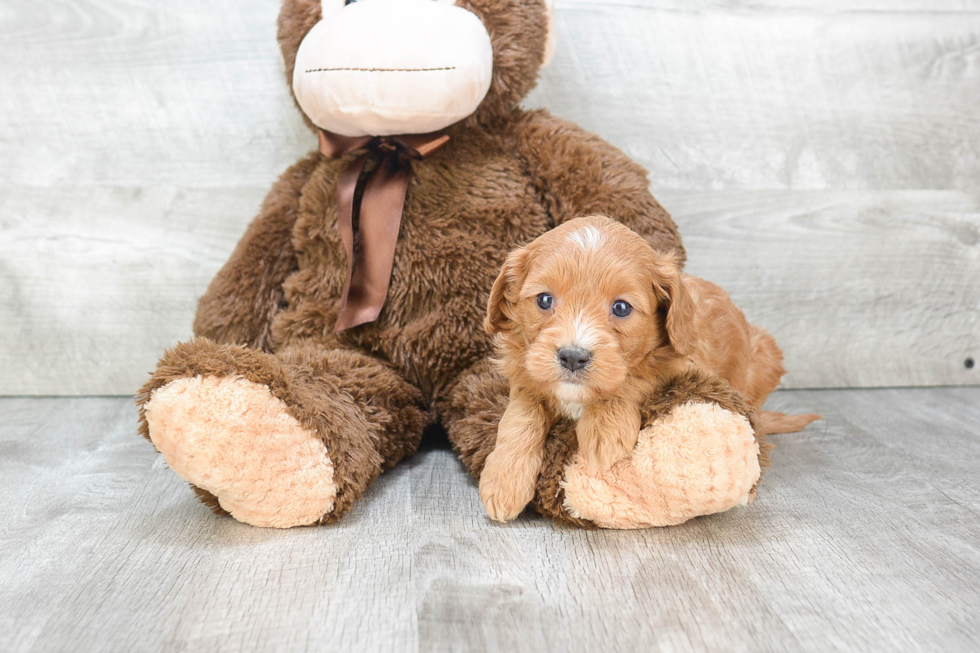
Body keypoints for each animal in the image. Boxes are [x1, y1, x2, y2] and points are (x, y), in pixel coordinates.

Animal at [478, 214, 824, 520]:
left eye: (621, 308)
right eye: (544, 300)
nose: (573, 357)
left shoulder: (682, 363)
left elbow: (637, 376)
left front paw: (605, 427)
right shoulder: (526, 371)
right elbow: (520, 417)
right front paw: (502, 480)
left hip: (765, 355)